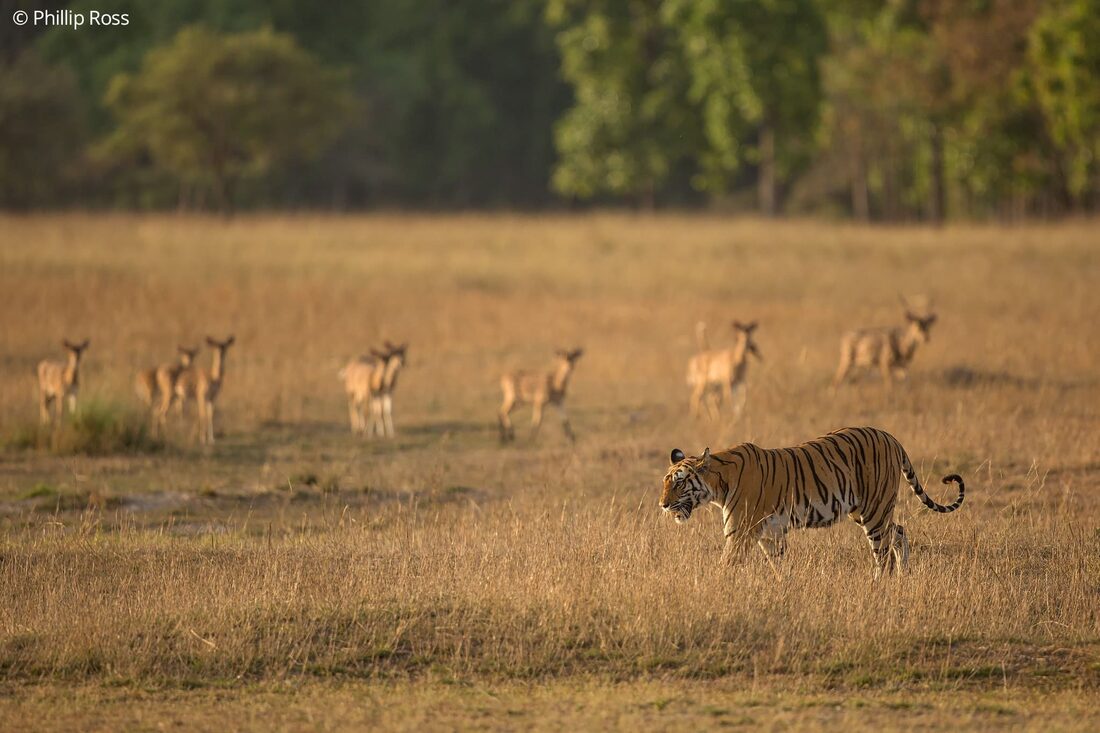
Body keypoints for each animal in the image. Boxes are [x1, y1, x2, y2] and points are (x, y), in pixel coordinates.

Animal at [658, 426, 964, 577]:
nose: (662, 505)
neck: (718, 484)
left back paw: (881, 585)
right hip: (864, 511)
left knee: (884, 554)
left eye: (680, 482)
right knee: (899, 532)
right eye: (665, 481)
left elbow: (726, 566)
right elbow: (778, 566)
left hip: (874, 510)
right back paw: (904, 576)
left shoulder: (739, 533)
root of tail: (890, 437)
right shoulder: (770, 534)